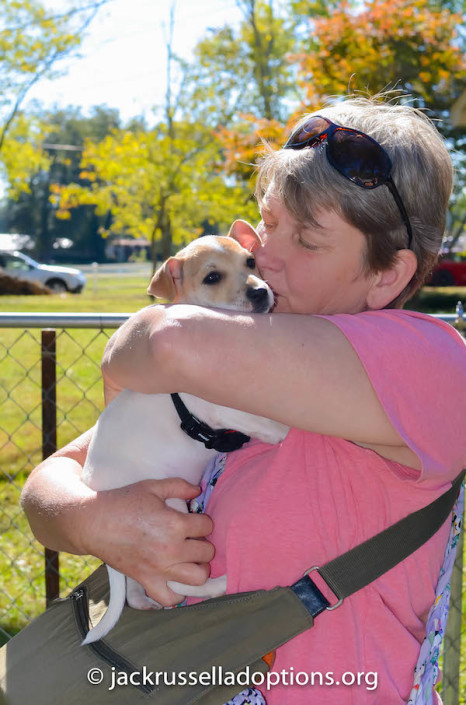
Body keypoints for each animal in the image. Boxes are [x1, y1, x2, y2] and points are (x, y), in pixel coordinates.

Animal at [82, 220, 290, 644]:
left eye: (251, 261)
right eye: (212, 277)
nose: (260, 292)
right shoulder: (230, 409)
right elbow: (271, 422)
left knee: (136, 587)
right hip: (173, 508)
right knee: (178, 581)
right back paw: (221, 584)